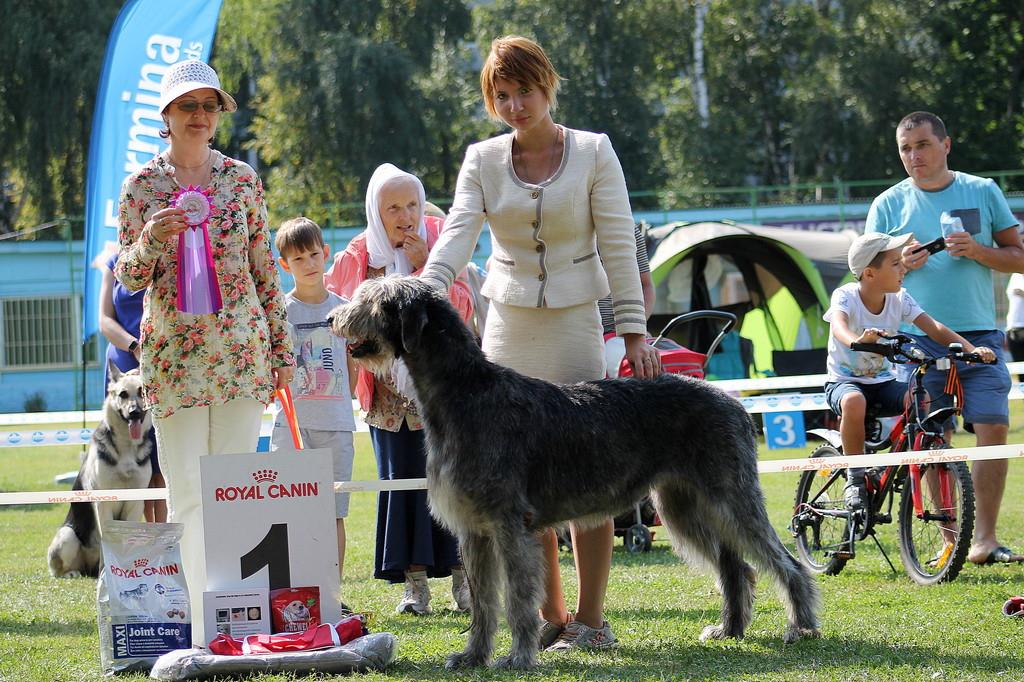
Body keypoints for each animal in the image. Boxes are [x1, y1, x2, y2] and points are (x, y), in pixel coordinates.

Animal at [46, 360, 153, 573]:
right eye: (123, 394)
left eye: (141, 392)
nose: (134, 412)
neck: (126, 447)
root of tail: (89, 567)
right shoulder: (104, 503)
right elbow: (107, 539)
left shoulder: (135, 503)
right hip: (67, 535)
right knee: (59, 569)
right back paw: (74, 572)